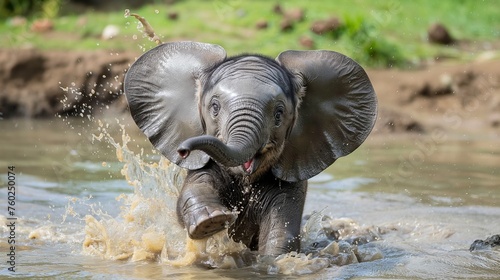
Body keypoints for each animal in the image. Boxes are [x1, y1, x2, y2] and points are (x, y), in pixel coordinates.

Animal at [124, 41, 376, 256]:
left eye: (279, 114)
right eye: (214, 107)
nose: (184, 150)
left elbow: (280, 233)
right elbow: (192, 192)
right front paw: (211, 222)